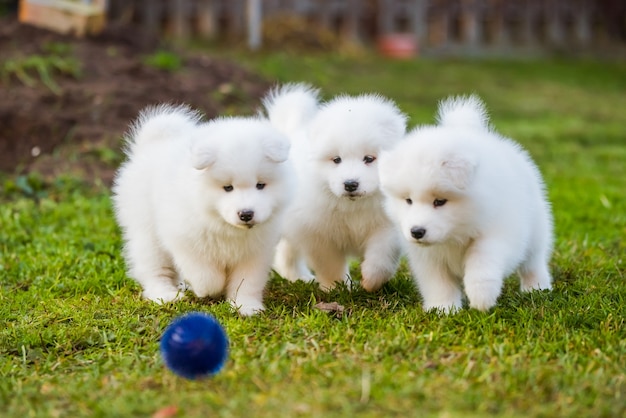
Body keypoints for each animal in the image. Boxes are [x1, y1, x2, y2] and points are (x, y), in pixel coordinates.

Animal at [112, 103, 292, 314]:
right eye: (228, 187)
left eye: (260, 185)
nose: (246, 214)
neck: (226, 227)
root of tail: (152, 145)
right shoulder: (185, 240)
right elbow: (206, 274)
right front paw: (208, 289)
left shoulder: (256, 252)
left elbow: (247, 281)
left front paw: (246, 307)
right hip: (147, 232)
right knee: (155, 269)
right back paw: (166, 295)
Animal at [262, 83, 404, 292]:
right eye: (336, 159)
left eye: (369, 158)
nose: (350, 184)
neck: (353, 206)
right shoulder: (318, 233)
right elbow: (330, 264)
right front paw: (338, 287)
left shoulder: (387, 226)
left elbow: (383, 254)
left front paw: (371, 281)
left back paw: (300, 277)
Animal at [378, 94, 548, 310]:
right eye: (408, 200)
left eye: (440, 201)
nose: (416, 232)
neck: (454, 235)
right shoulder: (427, 257)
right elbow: (437, 281)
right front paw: (443, 309)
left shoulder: (498, 232)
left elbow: (482, 259)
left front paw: (481, 297)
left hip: (536, 231)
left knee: (533, 262)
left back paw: (537, 288)